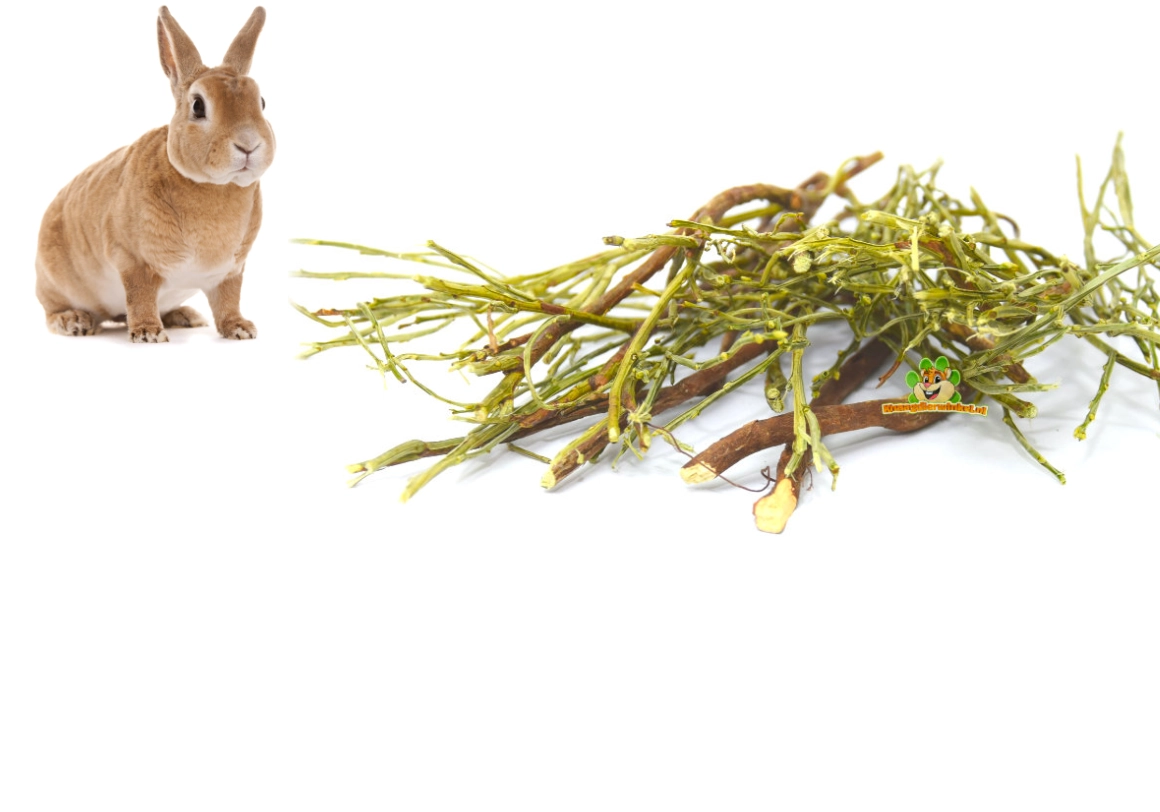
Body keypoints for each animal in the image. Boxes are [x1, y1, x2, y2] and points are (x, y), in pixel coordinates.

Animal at [35, 6, 275, 342]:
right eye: (198, 106)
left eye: (261, 103)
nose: (249, 144)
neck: (215, 186)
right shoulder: (133, 261)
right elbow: (140, 295)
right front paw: (148, 334)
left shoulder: (230, 272)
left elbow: (229, 300)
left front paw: (240, 329)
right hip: (55, 282)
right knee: (54, 310)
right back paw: (74, 322)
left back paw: (185, 316)